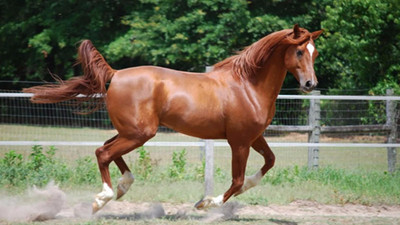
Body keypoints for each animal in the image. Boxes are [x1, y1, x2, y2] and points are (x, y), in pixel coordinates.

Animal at [23, 24, 322, 213]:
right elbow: (237, 181)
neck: (248, 85)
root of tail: (115, 74)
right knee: (102, 152)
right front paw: (205, 204)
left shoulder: (254, 137)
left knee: (107, 149)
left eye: (314, 52)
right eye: (299, 51)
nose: (310, 84)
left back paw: (122, 186)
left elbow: (268, 163)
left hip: (132, 131)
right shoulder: (239, 142)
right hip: (140, 133)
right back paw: (102, 199)